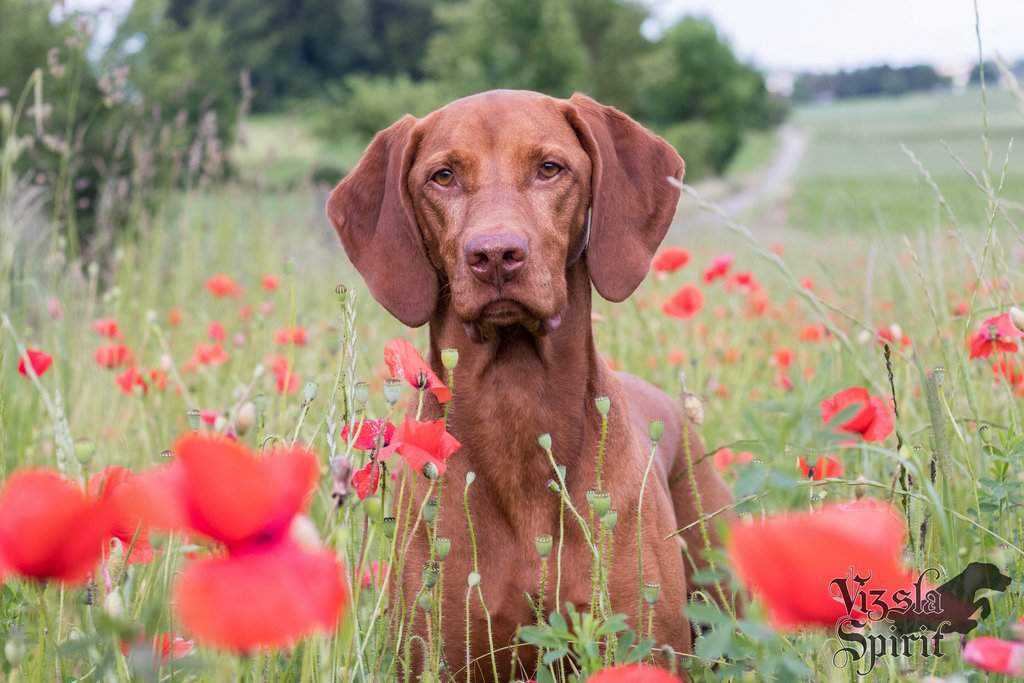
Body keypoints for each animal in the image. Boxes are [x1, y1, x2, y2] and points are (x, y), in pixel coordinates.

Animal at [327, 89, 737, 679]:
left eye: (549, 168)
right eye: (443, 176)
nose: (495, 255)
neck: (517, 406)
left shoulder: (640, 646)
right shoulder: (442, 654)